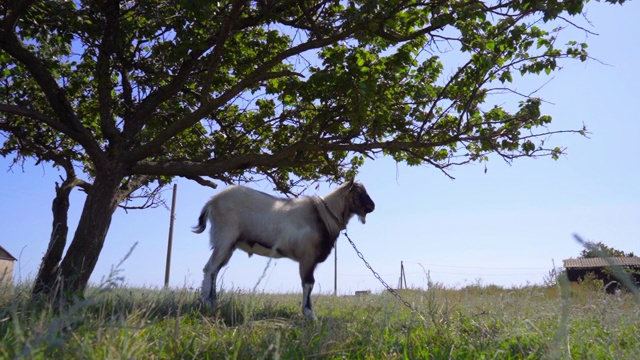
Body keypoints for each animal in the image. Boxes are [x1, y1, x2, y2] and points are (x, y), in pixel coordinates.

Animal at [192, 179, 378, 318]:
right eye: (358, 193)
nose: (372, 207)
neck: (323, 215)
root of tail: (212, 201)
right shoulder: (307, 258)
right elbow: (309, 283)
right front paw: (310, 314)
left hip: (227, 244)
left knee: (215, 270)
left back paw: (213, 301)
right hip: (225, 238)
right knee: (210, 268)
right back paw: (208, 303)